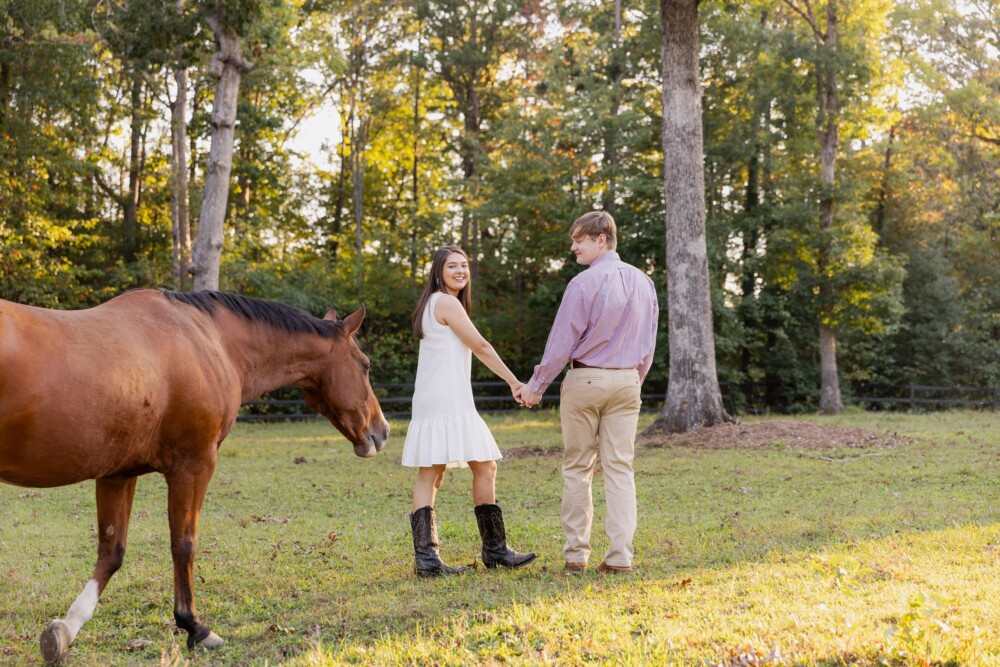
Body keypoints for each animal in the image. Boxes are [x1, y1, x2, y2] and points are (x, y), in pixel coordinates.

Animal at [0, 290, 388, 664]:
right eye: (366, 365)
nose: (381, 432)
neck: (211, 339)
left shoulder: (118, 474)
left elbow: (111, 552)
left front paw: (65, 629)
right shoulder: (193, 465)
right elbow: (183, 544)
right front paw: (195, 627)